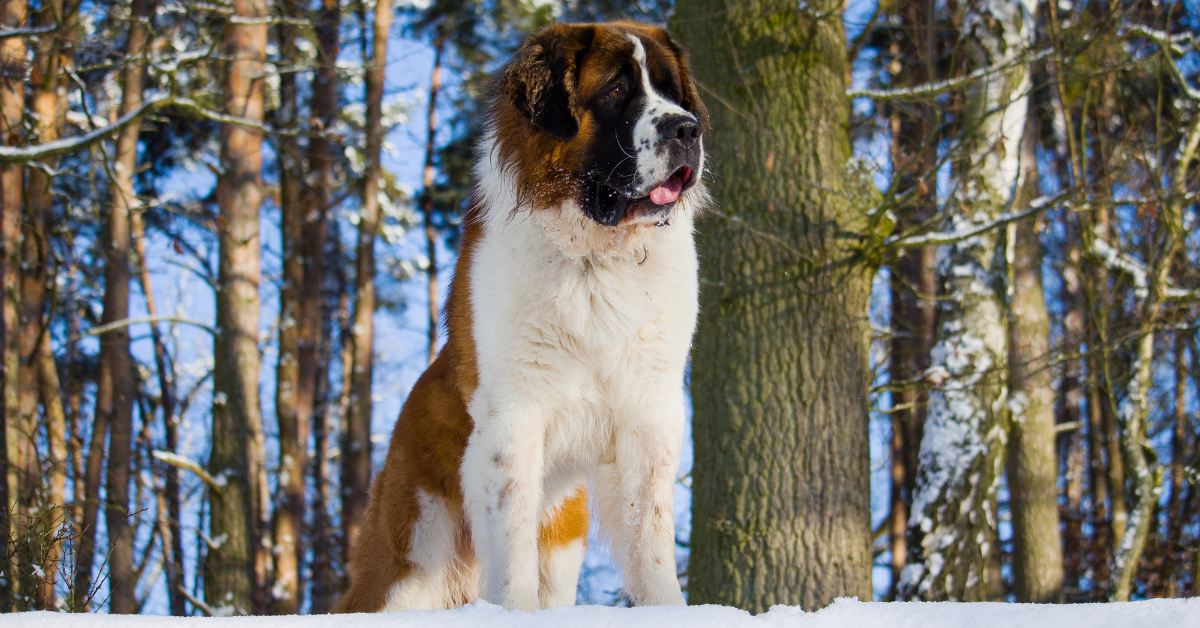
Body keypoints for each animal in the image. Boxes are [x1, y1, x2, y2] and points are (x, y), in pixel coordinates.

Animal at [338, 20, 705, 614]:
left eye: (674, 93)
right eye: (617, 91)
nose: (687, 129)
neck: (594, 258)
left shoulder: (649, 409)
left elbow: (649, 530)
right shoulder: (514, 413)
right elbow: (511, 545)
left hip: (562, 532)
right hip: (412, 551)